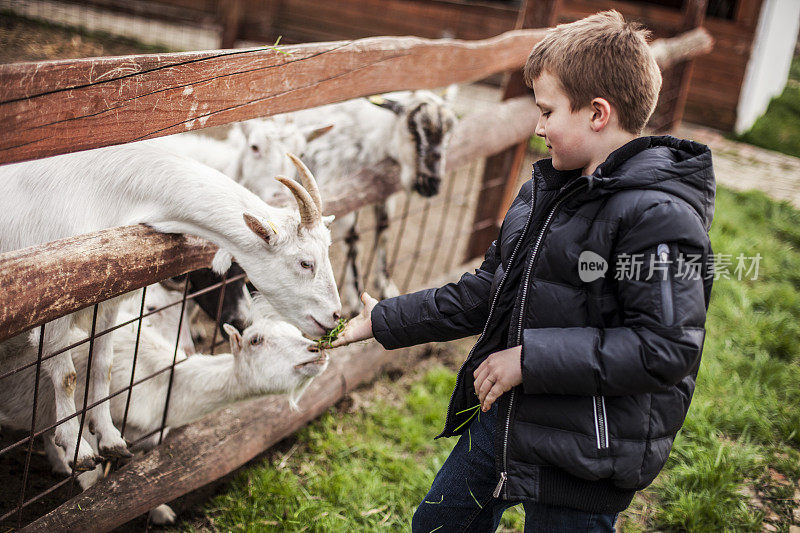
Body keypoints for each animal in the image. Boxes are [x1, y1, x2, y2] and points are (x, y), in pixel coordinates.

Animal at [0, 141, 340, 470]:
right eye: (305, 262)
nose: (335, 316)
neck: (104, 193)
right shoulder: (52, 306)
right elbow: (67, 377)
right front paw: (76, 448)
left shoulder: (106, 303)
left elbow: (103, 364)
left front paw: (110, 438)